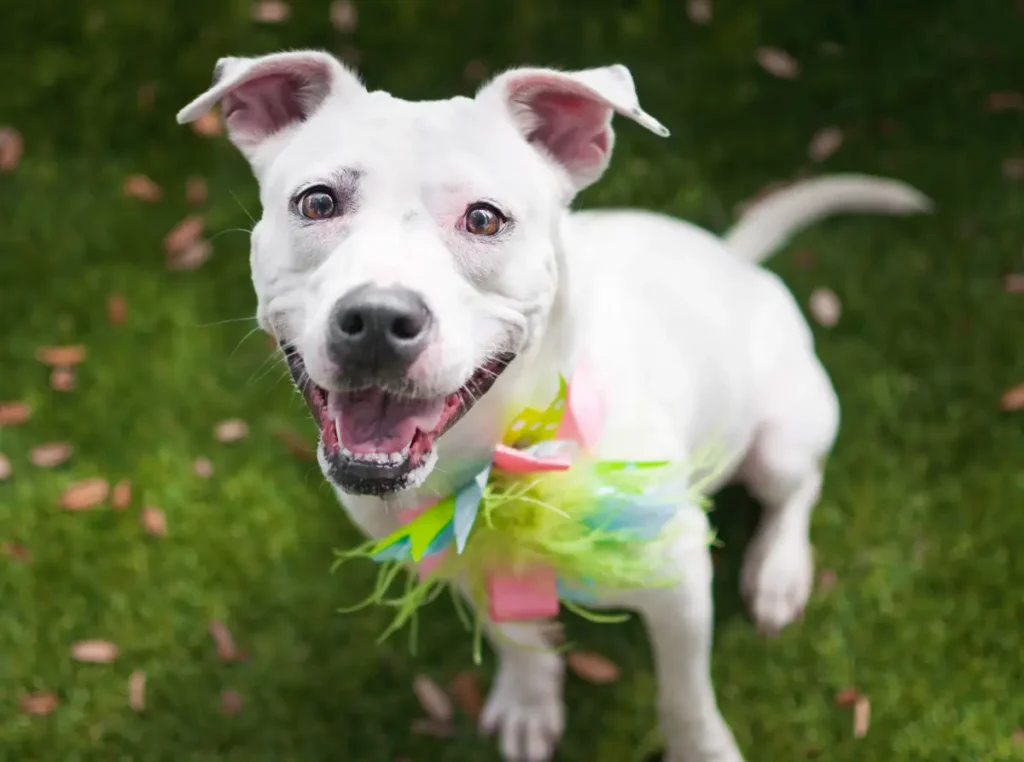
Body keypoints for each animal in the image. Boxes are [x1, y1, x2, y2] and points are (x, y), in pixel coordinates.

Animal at [176, 50, 929, 757]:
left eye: (485, 219)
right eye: (317, 203)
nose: (379, 320)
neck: (500, 463)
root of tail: (734, 257)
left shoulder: (681, 581)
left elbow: (686, 693)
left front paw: (701, 748)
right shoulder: (467, 563)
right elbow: (520, 639)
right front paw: (530, 702)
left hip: (782, 436)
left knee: (796, 491)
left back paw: (778, 571)